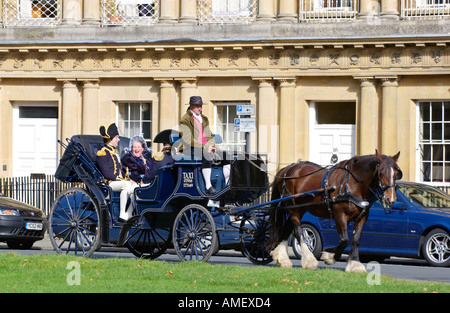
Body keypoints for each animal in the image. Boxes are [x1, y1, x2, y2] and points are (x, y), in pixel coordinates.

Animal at [268, 149, 402, 270]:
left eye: (396, 173)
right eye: (381, 173)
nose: (391, 199)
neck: (353, 184)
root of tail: (287, 169)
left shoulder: (362, 216)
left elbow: (356, 240)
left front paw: (355, 264)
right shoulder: (340, 214)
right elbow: (344, 240)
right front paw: (329, 256)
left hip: (300, 208)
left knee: (287, 228)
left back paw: (282, 259)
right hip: (293, 207)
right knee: (297, 231)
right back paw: (309, 260)